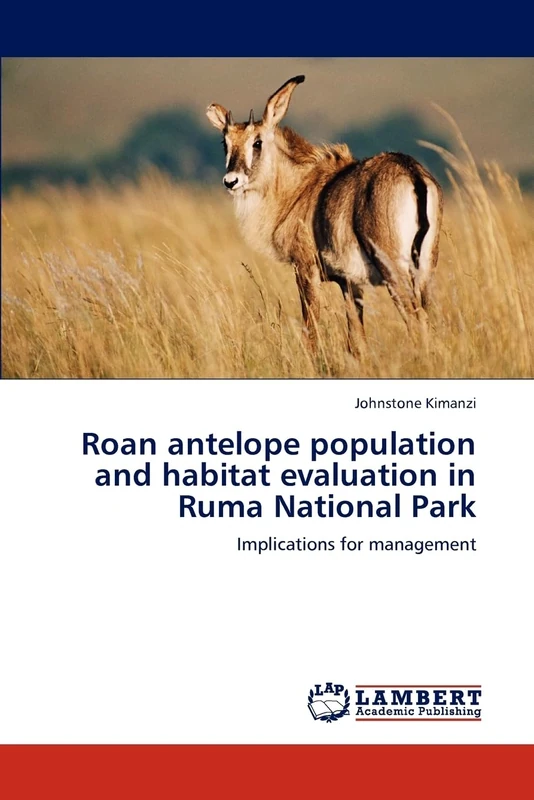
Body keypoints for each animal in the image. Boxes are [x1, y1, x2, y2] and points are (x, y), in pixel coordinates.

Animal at [207, 75, 443, 354]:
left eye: (257, 142)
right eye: (225, 143)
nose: (231, 181)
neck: (300, 187)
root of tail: (412, 173)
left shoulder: (305, 269)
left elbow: (312, 331)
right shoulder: (350, 284)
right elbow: (356, 343)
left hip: (394, 271)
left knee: (415, 322)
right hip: (425, 271)